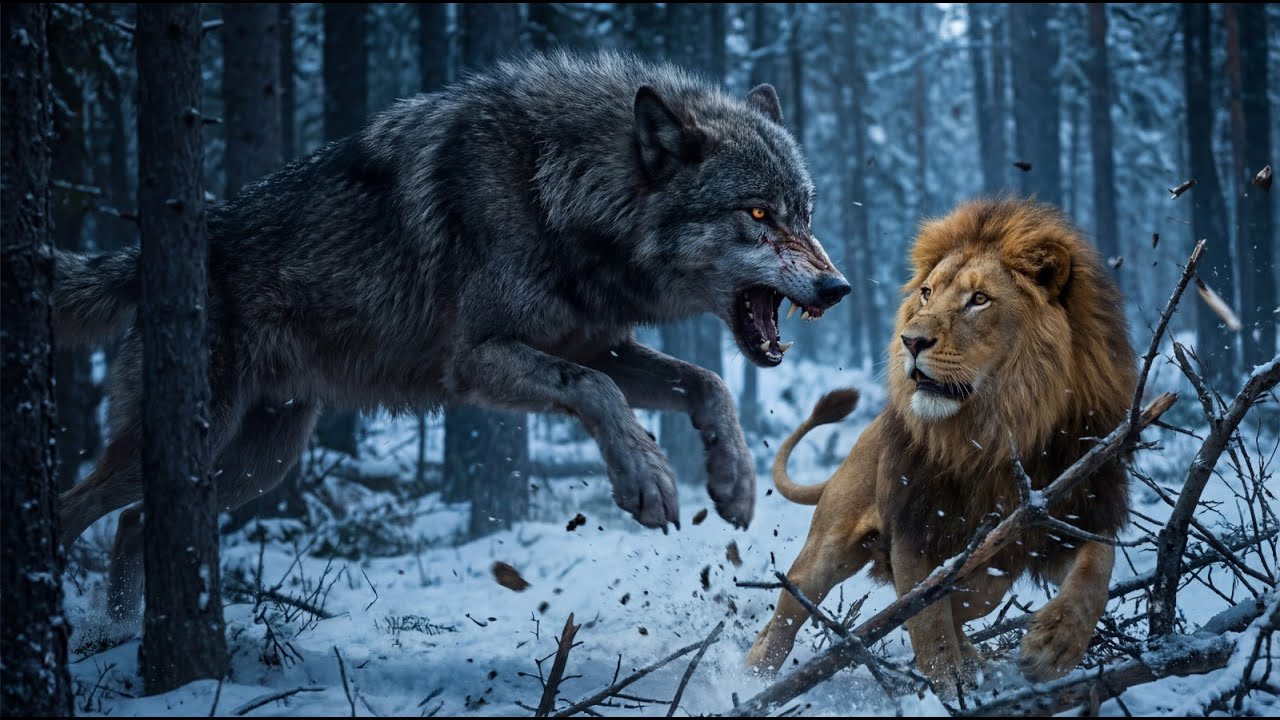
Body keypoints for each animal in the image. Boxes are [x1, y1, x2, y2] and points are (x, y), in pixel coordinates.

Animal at [55, 51, 850, 618]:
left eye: (805, 213)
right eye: (756, 214)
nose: (838, 289)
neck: (555, 189)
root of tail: (150, 255)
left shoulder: (596, 343)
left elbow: (706, 382)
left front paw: (733, 480)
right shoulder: (481, 362)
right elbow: (598, 394)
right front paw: (648, 481)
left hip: (261, 463)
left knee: (135, 527)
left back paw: (119, 644)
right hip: (192, 445)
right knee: (74, 509)